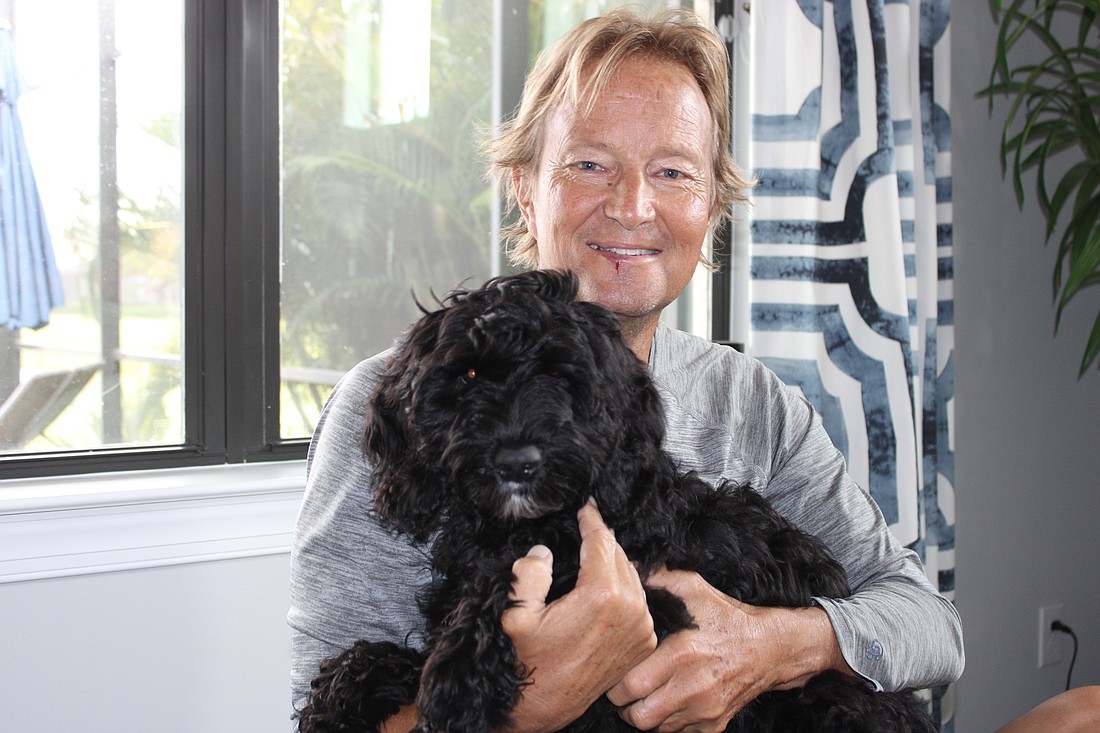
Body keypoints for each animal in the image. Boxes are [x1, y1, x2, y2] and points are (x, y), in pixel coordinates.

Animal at [294, 268, 937, 730]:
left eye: (562, 376)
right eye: (469, 375)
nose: (516, 462)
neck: (521, 526)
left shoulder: (655, 605)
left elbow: (507, 586)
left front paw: (458, 676)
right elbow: (392, 650)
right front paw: (342, 689)